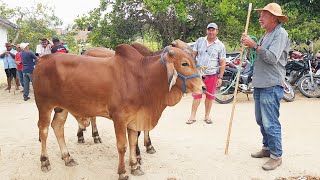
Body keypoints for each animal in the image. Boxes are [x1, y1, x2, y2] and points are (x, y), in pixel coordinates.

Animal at [33, 44, 204, 180]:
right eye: (184, 63)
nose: (203, 87)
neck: (142, 79)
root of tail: (43, 59)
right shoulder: (119, 119)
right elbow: (122, 146)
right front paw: (122, 172)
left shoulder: (135, 119)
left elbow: (133, 142)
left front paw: (135, 166)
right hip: (44, 105)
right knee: (44, 130)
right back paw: (45, 161)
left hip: (61, 108)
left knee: (58, 127)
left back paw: (68, 158)